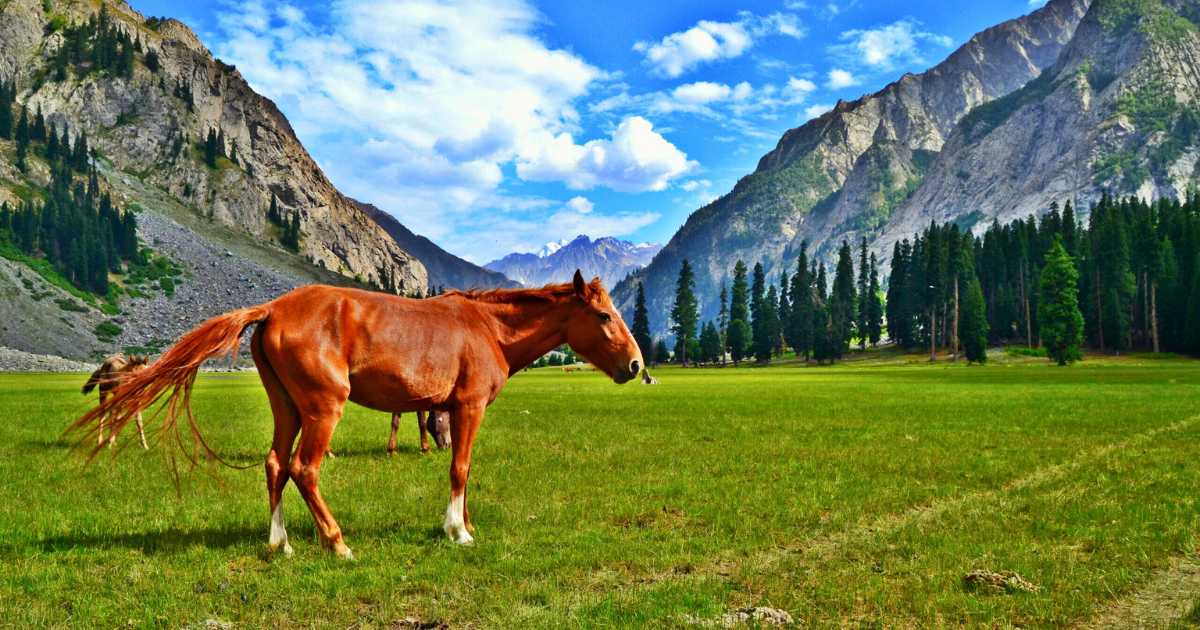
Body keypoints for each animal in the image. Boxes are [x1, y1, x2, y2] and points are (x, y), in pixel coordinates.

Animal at [70, 270, 643, 554]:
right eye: (603, 315)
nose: (637, 365)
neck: (486, 327)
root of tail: (273, 309)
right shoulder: (467, 407)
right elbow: (459, 468)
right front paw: (458, 532)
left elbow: (461, 467)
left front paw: (463, 522)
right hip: (323, 410)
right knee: (304, 469)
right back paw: (337, 542)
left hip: (288, 410)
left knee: (275, 466)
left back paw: (280, 543)